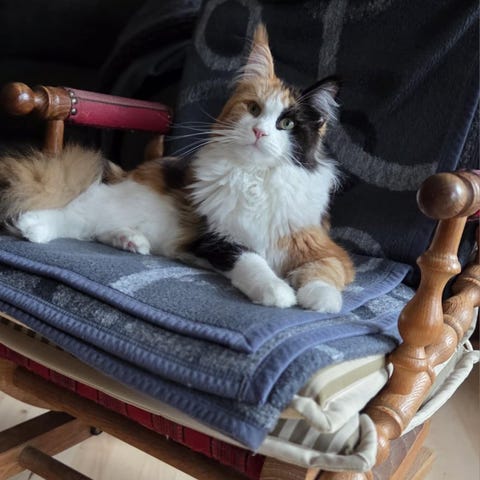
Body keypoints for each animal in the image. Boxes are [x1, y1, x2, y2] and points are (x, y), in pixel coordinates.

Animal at [0, 24, 354, 313]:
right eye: (254, 109)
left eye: (287, 124)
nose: (258, 132)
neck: (253, 177)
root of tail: (129, 174)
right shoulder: (216, 239)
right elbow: (252, 261)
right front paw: (277, 292)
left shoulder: (320, 245)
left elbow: (327, 271)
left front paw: (320, 301)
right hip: (123, 200)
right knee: (75, 212)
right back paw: (33, 226)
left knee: (95, 228)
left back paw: (130, 240)